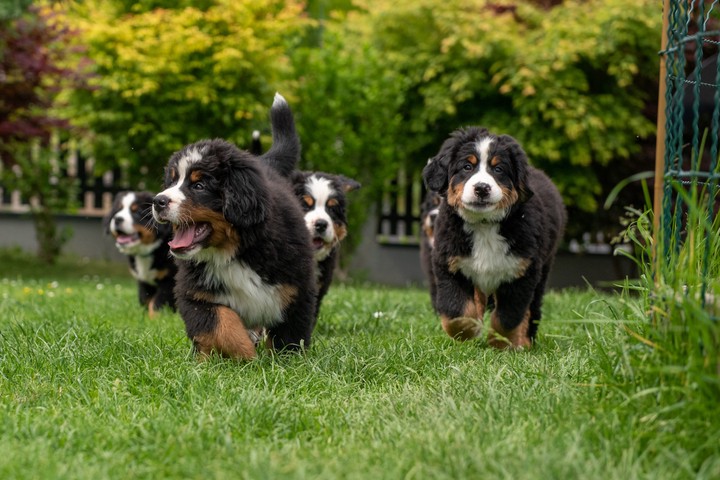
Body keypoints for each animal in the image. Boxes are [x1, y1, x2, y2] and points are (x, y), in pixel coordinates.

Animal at [152, 93, 317, 360]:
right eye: (172, 181)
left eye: (198, 185)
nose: (158, 201)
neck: (233, 251)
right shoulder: (196, 294)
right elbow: (223, 325)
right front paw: (245, 355)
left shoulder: (296, 289)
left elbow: (289, 337)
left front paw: (285, 362)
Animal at [422, 127, 566, 349]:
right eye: (467, 166)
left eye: (498, 169)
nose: (482, 188)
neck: (484, 225)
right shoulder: (449, 265)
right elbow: (456, 311)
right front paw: (469, 330)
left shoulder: (521, 272)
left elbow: (508, 317)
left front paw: (502, 344)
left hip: (543, 268)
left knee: (532, 309)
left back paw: (526, 341)